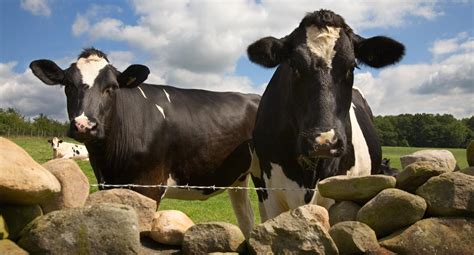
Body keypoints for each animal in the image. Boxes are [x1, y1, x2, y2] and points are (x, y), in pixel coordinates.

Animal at [30, 48, 260, 237]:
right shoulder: (107, 185)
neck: (109, 160)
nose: (84, 125)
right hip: (238, 177)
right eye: (68, 85)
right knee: (247, 219)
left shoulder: (149, 185)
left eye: (111, 87)